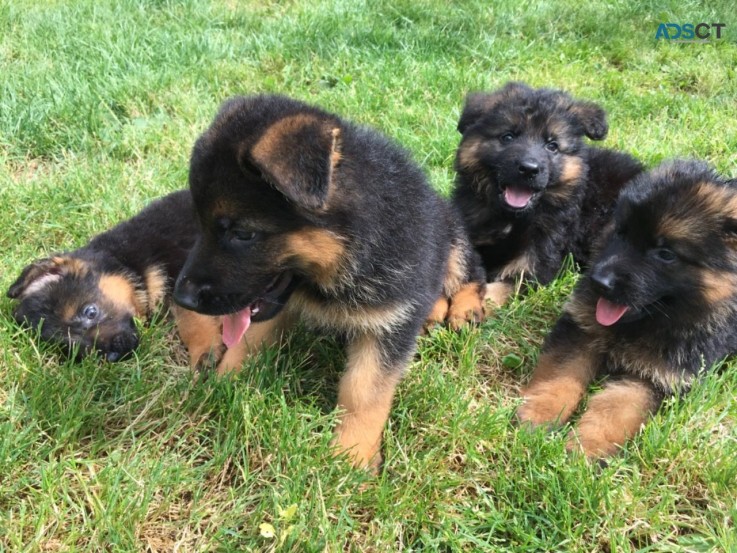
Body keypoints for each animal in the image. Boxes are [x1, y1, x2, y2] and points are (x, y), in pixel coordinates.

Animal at [452, 82, 640, 306]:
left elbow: (494, 291)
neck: (513, 218)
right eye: (508, 137)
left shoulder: (534, 266)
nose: (529, 169)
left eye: (552, 145)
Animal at [516, 161, 736, 458]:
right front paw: (539, 413)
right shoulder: (583, 329)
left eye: (665, 254)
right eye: (621, 232)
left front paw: (587, 447)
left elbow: (615, 408)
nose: (599, 282)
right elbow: (560, 375)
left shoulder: (658, 377)